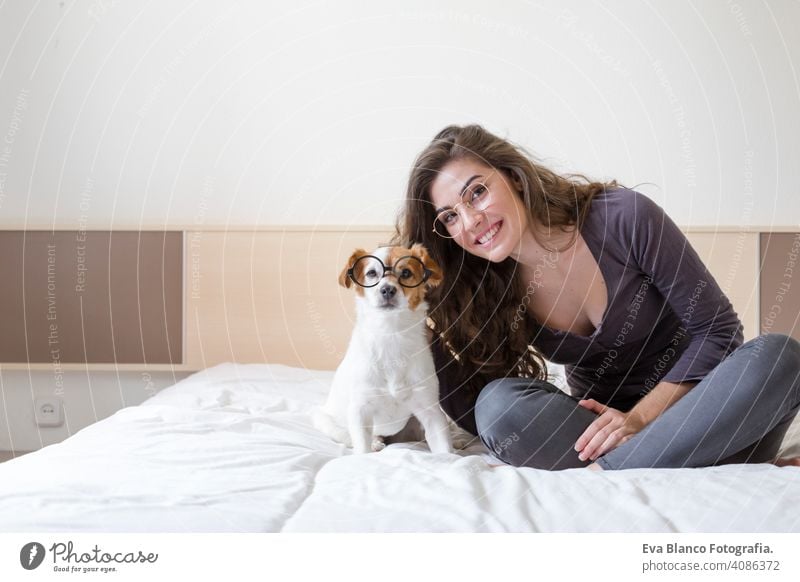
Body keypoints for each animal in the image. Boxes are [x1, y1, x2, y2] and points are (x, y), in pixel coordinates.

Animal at [310, 242, 454, 456]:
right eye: (371, 273)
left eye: (406, 273)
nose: (387, 290)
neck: (391, 335)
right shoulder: (360, 410)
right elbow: (362, 450)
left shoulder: (431, 411)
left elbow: (445, 450)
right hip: (326, 420)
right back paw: (375, 443)